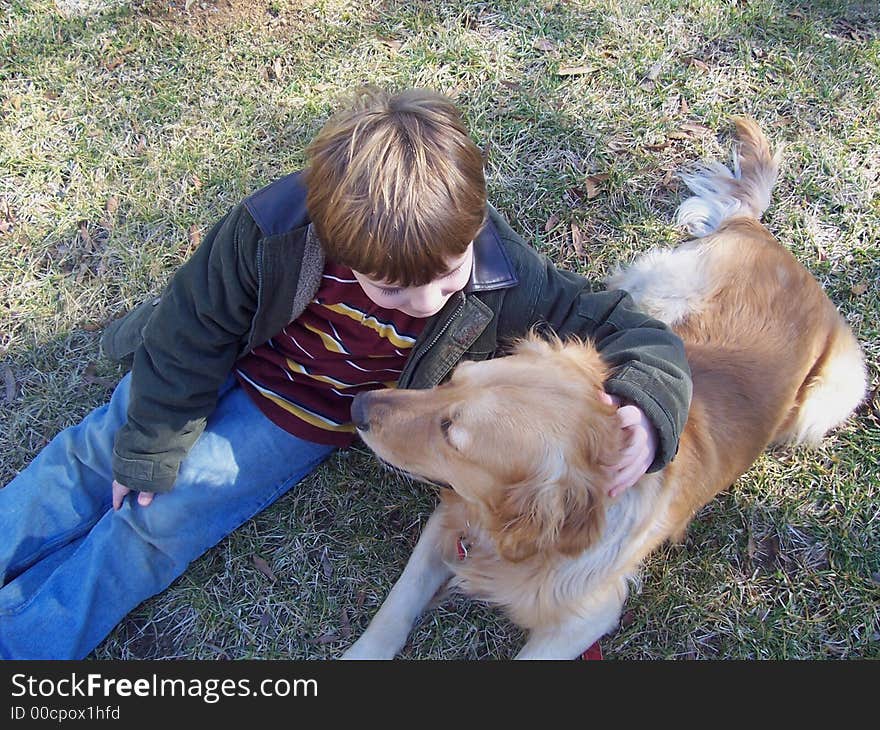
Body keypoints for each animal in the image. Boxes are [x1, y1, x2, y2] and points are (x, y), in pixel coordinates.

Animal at [342, 116, 868, 656]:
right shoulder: (446, 524)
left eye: (451, 433)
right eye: (453, 380)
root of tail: (766, 235)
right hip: (653, 290)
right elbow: (395, 607)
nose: (359, 407)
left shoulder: (587, 616)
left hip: (827, 401)